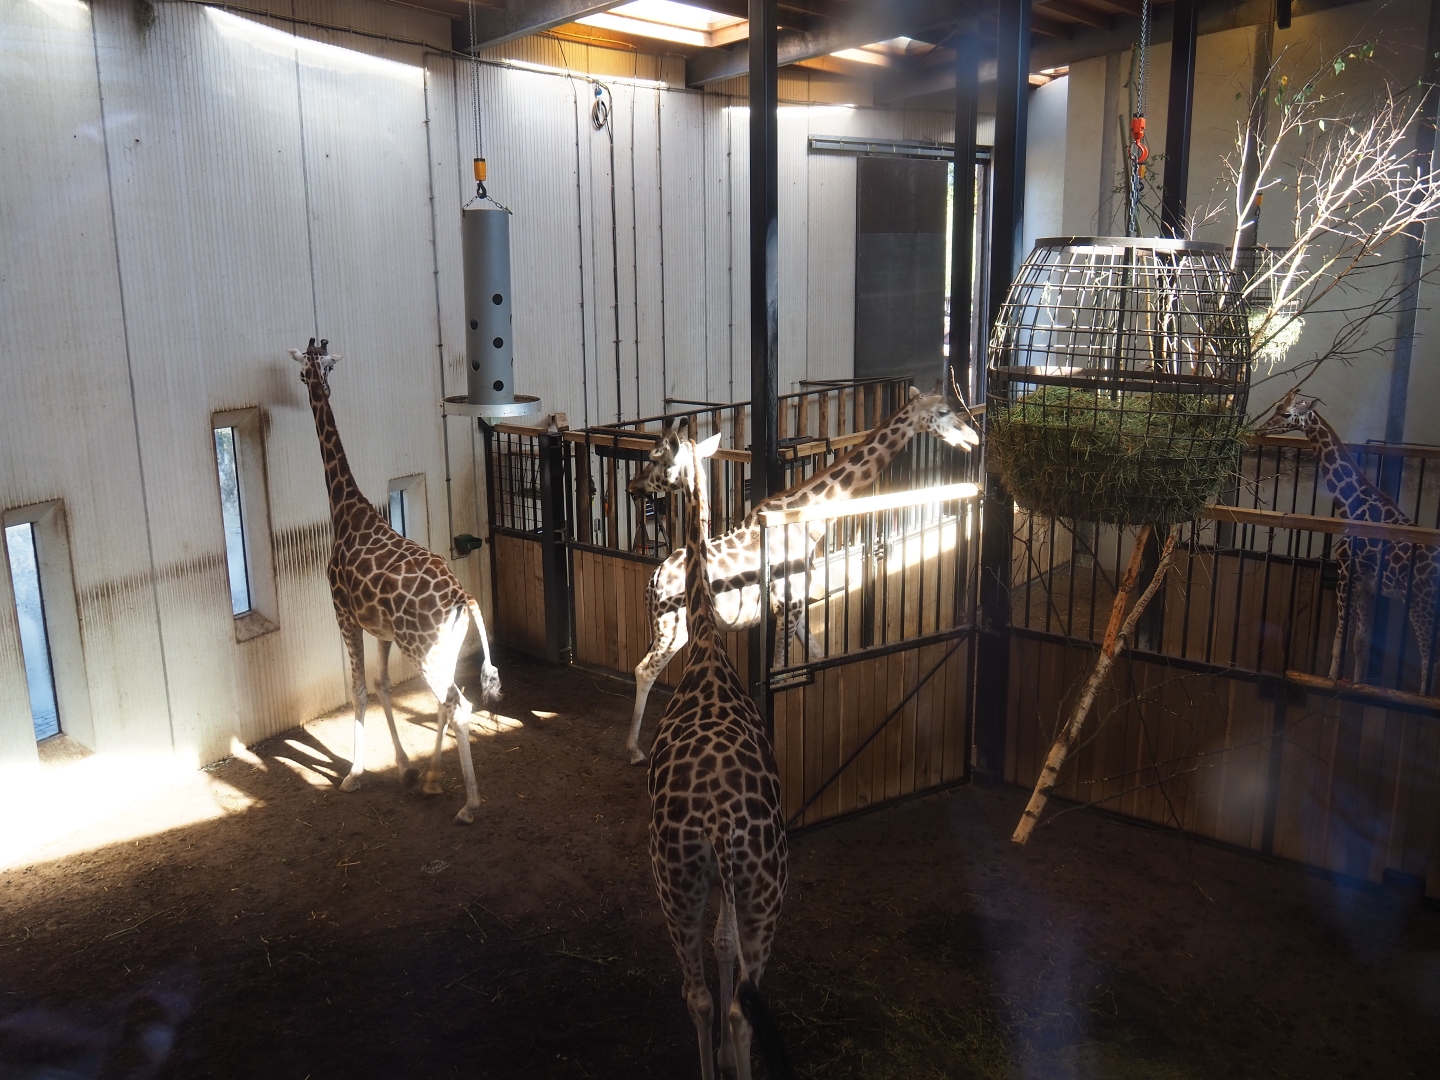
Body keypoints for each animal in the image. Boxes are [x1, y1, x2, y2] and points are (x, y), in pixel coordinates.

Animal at [290, 339, 501, 824]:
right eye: (320, 367)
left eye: (305, 371)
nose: (311, 383)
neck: (345, 509)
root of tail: (462, 597)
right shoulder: (381, 630)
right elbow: (383, 685)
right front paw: (406, 768)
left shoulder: (343, 613)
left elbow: (359, 690)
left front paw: (354, 774)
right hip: (437, 647)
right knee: (448, 701)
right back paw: (433, 779)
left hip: (420, 647)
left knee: (458, 704)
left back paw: (470, 804)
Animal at [623, 385, 979, 763]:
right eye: (943, 412)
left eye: (656, 459)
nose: (972, 437)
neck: (808, 520)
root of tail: (652, 584)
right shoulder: (787, 607)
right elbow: (781, 675)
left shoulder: (798, 605)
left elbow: (820, 656)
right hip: (672, 631)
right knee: (644, 669)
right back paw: (635, 749)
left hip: (665, 629)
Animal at [1256, 390, 1440, 692]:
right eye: (1277, 406)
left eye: (1286, 413)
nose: (1261, 429)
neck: (1352, 505)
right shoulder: (1367, 586)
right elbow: (1360, 643)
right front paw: (1359, 686)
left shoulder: (1346, 575)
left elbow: (1339, 639)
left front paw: (1331, 683)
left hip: (1421, 602)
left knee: (1429, 660)